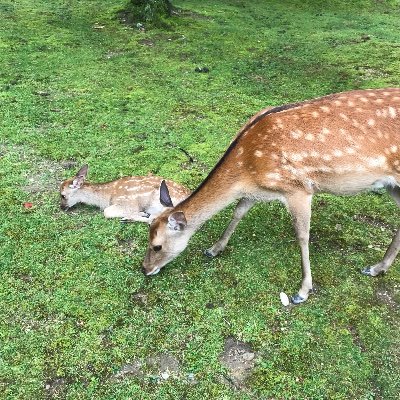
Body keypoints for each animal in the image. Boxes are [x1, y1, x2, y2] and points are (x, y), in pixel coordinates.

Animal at [142, 88, 400, 304]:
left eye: (157, 246)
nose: (144, 269)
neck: (247, 167)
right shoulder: (258, 189)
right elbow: (239, 210)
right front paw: (215, 248)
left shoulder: (298, 188)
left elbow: (302, 235)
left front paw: (302, 291)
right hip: (392, 185)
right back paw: (377, 268)